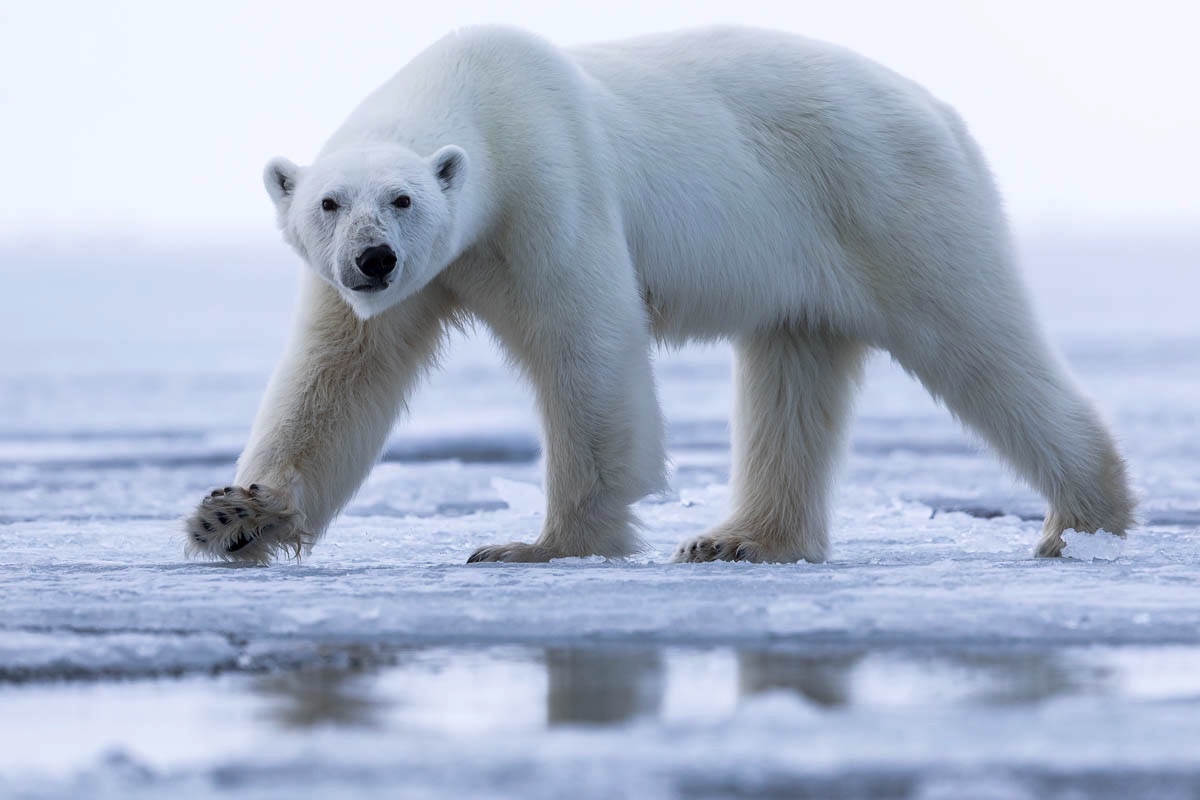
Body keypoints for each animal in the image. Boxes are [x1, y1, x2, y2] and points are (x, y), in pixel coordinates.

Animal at [184, 23, 1132, 563]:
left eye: (404, 199)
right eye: (328, 202)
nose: (374, 260)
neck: (477, 100)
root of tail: (942, 110)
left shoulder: (549, 189)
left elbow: (587, 348)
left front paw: (537, 545)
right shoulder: (397, 282)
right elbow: (335, 384)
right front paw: (233, 516)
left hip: (890, 203)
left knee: (975, 342)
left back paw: (1084, 518)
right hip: (806, 256)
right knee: (793, 379)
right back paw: (741, 540)